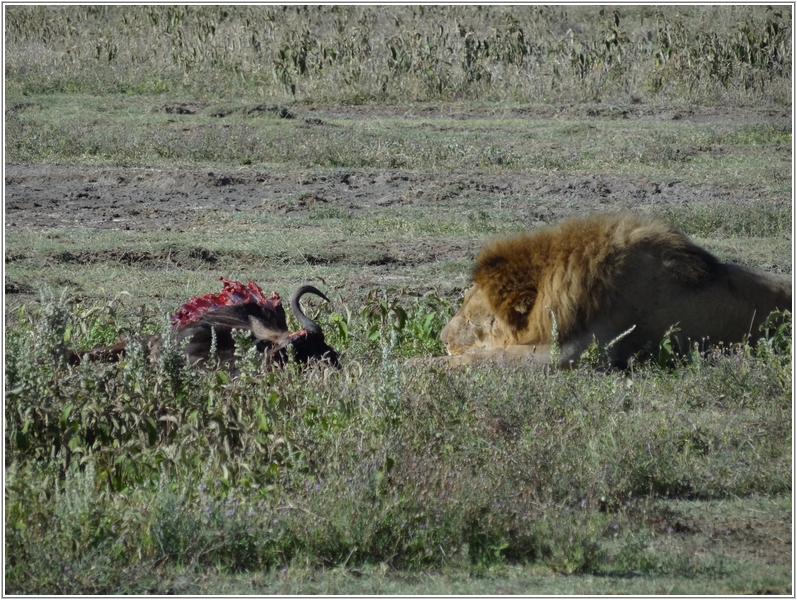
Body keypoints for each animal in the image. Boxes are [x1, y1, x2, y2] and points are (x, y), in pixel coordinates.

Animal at [438, 213, 792, 368]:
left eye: (470, 320)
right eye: (462, 303)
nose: (442, 339)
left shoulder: (578, 352)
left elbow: (484, 357)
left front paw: (426, 364)